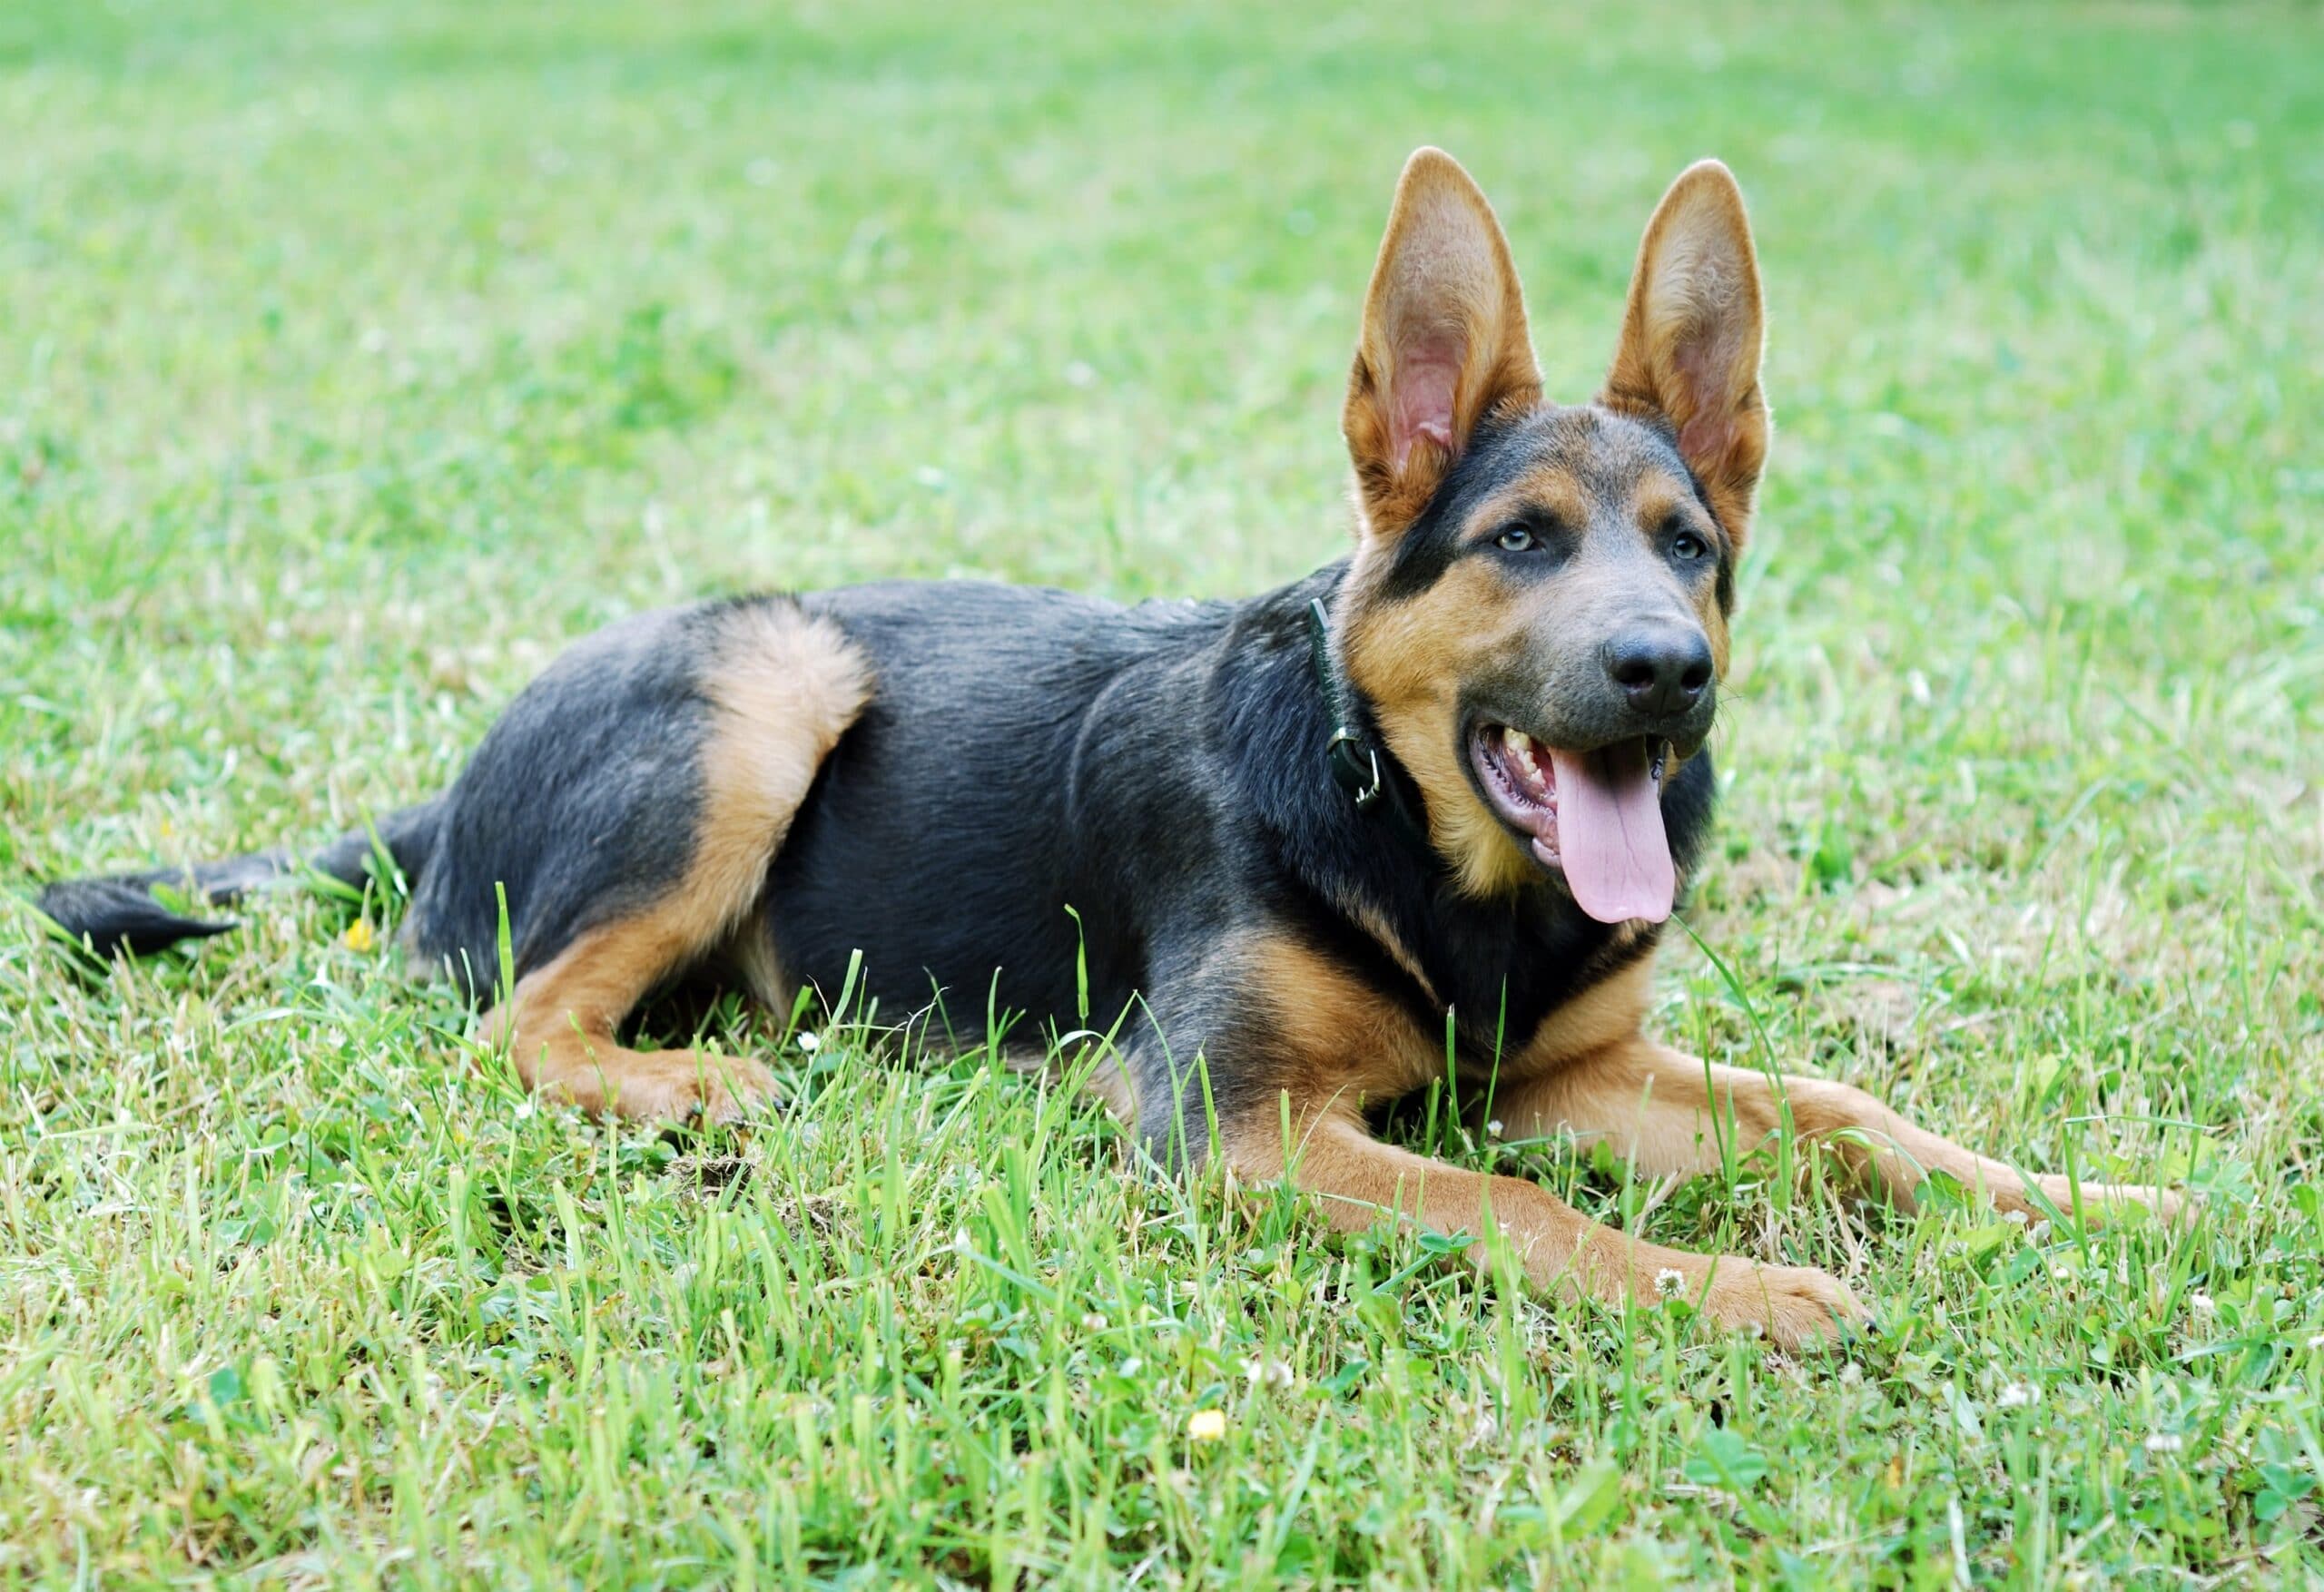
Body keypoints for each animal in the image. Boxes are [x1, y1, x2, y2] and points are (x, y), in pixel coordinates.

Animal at [36, 145, 2175, 1338]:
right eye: (1517, 542)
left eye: (1689, 547)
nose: (1666, 672)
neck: (1415, 839)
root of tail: (450, 785)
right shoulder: (1225, 1129)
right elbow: (1519, 1212)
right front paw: (1735, 1289)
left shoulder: (1565, 1074)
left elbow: (1845, 1113)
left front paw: (2087, 1205)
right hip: (768, 682)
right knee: (516, 1019)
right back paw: (691, 1086)